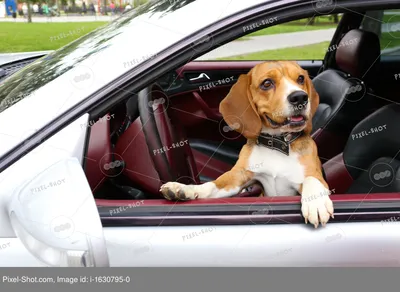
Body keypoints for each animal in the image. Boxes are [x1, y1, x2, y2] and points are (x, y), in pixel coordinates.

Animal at [159, 60, 334, 227]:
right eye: (267, 83)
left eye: (300, 79)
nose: (300, 97)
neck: (276, 143)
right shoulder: (237, 178)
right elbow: (211, 186)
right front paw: (183, 188)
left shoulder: (316, 177)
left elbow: (311, 179)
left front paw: (316, 203)